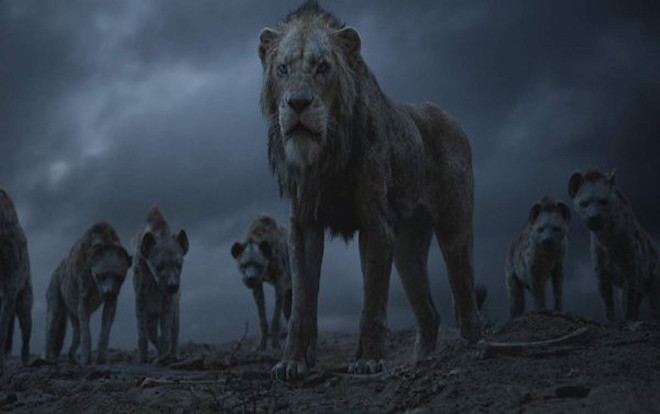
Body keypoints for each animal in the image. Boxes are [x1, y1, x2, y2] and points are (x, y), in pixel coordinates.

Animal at [258, 1, 481, 380]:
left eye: (322, 67)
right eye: (283, 68)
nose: (298, 103)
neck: (325, 156)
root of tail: (449, 116)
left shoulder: (375, 221)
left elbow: (373, 297)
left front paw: (370, 360)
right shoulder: (303, 225)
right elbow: (302, 301)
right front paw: (292, 363)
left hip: (454, 227)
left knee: (463, 289)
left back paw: (469, 349)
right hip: (408, 249)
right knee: (430, 312)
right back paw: (422, 360)